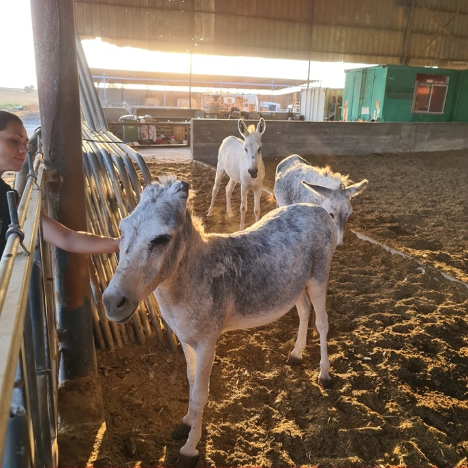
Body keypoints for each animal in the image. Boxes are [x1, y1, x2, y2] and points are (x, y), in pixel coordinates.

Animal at [103, 175, 337, 467]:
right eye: (122, 229)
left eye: (161, 238)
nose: (112, 302)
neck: (192, 279)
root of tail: (318, 210)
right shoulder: (185, 340)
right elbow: (191, 382)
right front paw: (184, 424)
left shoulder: (207, 342)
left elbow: (201, 394)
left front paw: (189, 449)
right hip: (294, 285)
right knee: (304, 311)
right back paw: (295, 355)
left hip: (318, 277)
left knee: (322, 322)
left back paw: (325, 375)